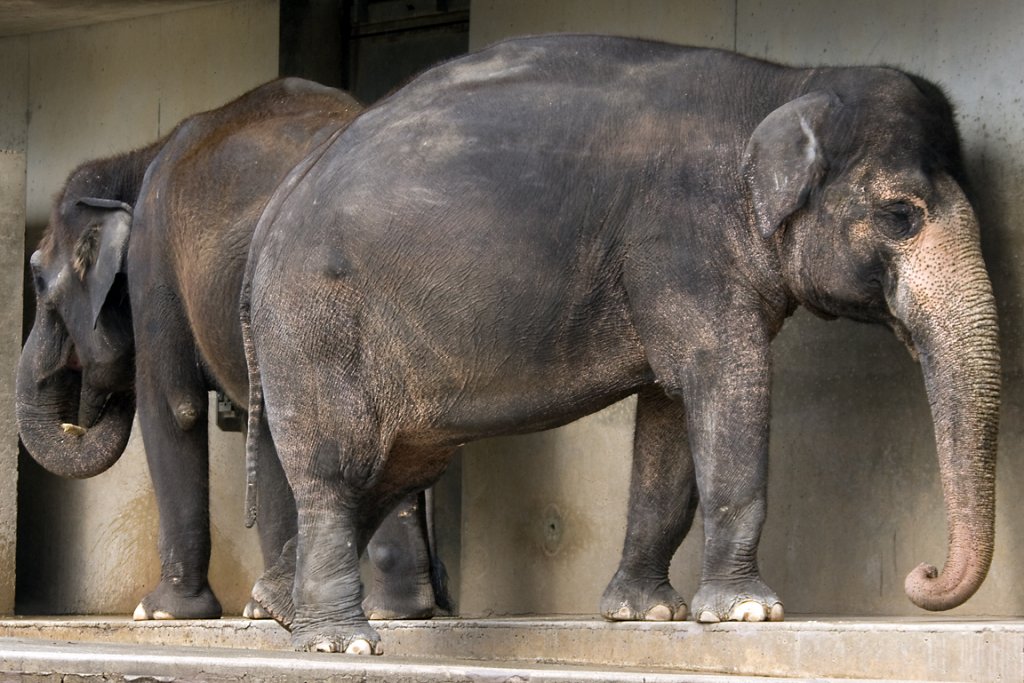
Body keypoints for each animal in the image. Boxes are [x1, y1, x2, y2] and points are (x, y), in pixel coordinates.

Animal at [16, 77, 448, 622]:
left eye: (39, 284)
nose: (84, 407)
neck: (139, 158)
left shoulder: (155, 262)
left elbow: (173, 409)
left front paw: (160, 612)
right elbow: (263, 427)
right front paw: (263, 611)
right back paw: (394, 611)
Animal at [241, 34, 999, 655]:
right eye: (901, 216)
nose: (923, 572)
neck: (790, 83)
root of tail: (273, 213)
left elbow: (669, 416)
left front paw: (644, 613)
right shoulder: (680, 243)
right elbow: (727, 382)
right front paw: (746, 612)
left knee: (395, 467)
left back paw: (279, 608)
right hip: (315, 325)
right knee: (339, 467)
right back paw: (339, 641)